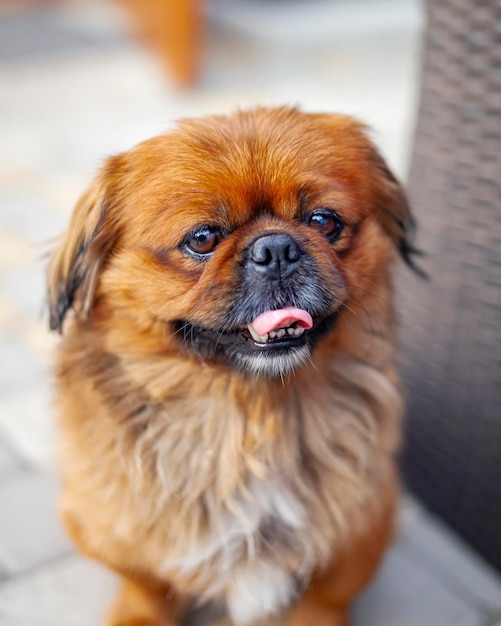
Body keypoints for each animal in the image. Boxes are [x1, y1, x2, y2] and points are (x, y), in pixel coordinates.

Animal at [47, 107, 416, 624]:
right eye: (203, 238)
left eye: (324, 221)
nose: (276, 248)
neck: (248, 420)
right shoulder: (107, 527)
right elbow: (146, 584)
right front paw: (139, 614)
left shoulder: (364, 527)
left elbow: (325, 596)